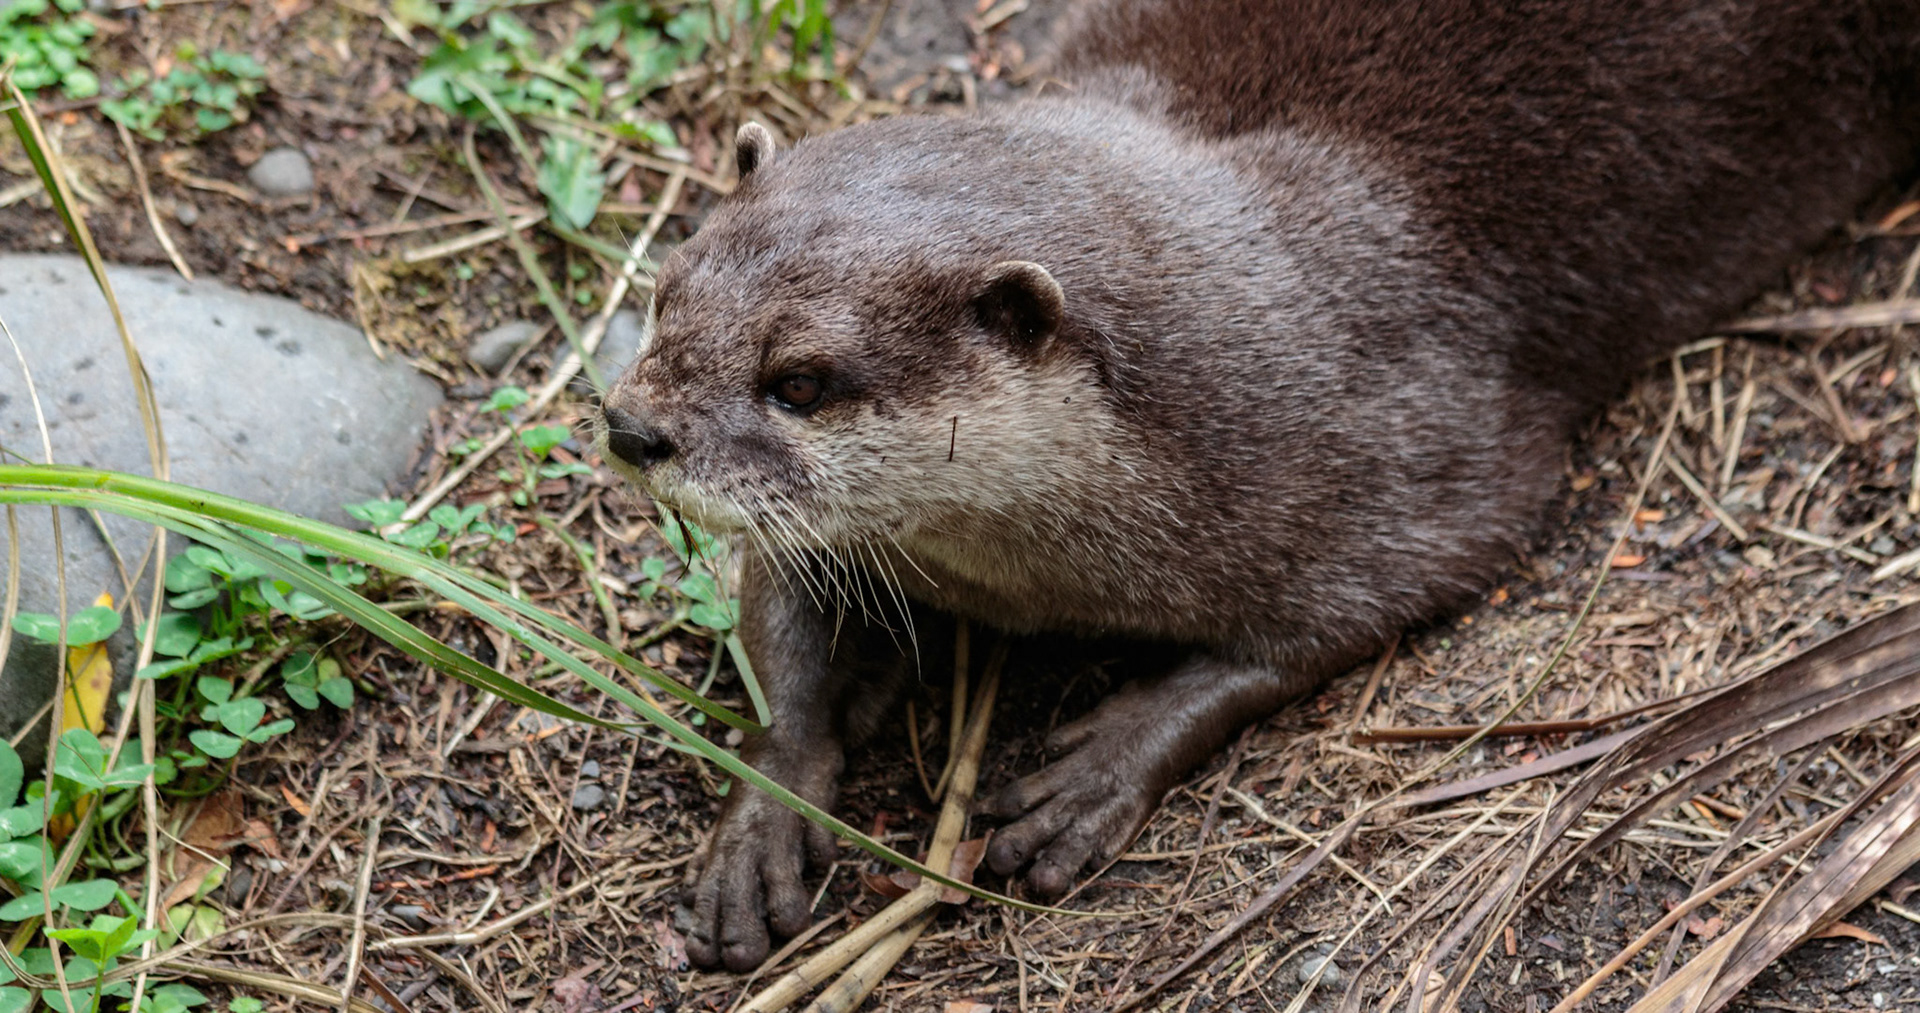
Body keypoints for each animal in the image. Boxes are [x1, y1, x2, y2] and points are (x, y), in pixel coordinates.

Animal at [599, 0, 1920, 972]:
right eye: (668, 290)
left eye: (802, 380)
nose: (630, 427)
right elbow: (782, 622)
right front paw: (764, 808)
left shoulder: (1415, 457)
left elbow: (1334, 616)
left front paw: (1107, 760)